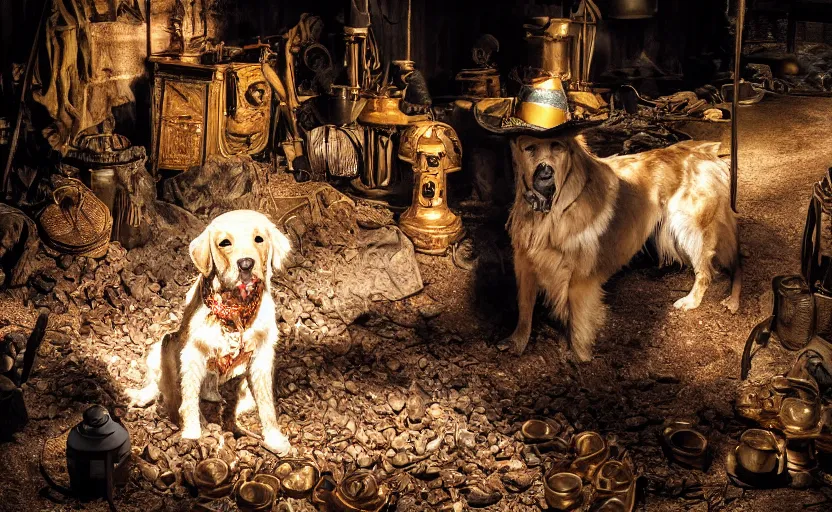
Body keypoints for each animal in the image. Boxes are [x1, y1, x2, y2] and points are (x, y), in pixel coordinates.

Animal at [125, 210, 290, 454]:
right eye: (225, 243)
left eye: (259, 239)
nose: (246, 264)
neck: (235, 311)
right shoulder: (191, 353)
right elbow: (188, 399)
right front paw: (192, 433)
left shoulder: (261, 357)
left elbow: (266, 404)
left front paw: (274, 438)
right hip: (162, 346)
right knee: (159, 383)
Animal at [504, 135, 744, 360]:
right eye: (530, 148)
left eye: (557, 147)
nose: (545, 176)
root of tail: (707, 152)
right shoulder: (524, 263)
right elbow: (524, 310)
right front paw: (516, 343)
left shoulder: (580, 278)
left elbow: (578, 326)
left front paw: (581, 358)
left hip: (691, 228)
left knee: (709, 270)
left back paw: (697, 300)